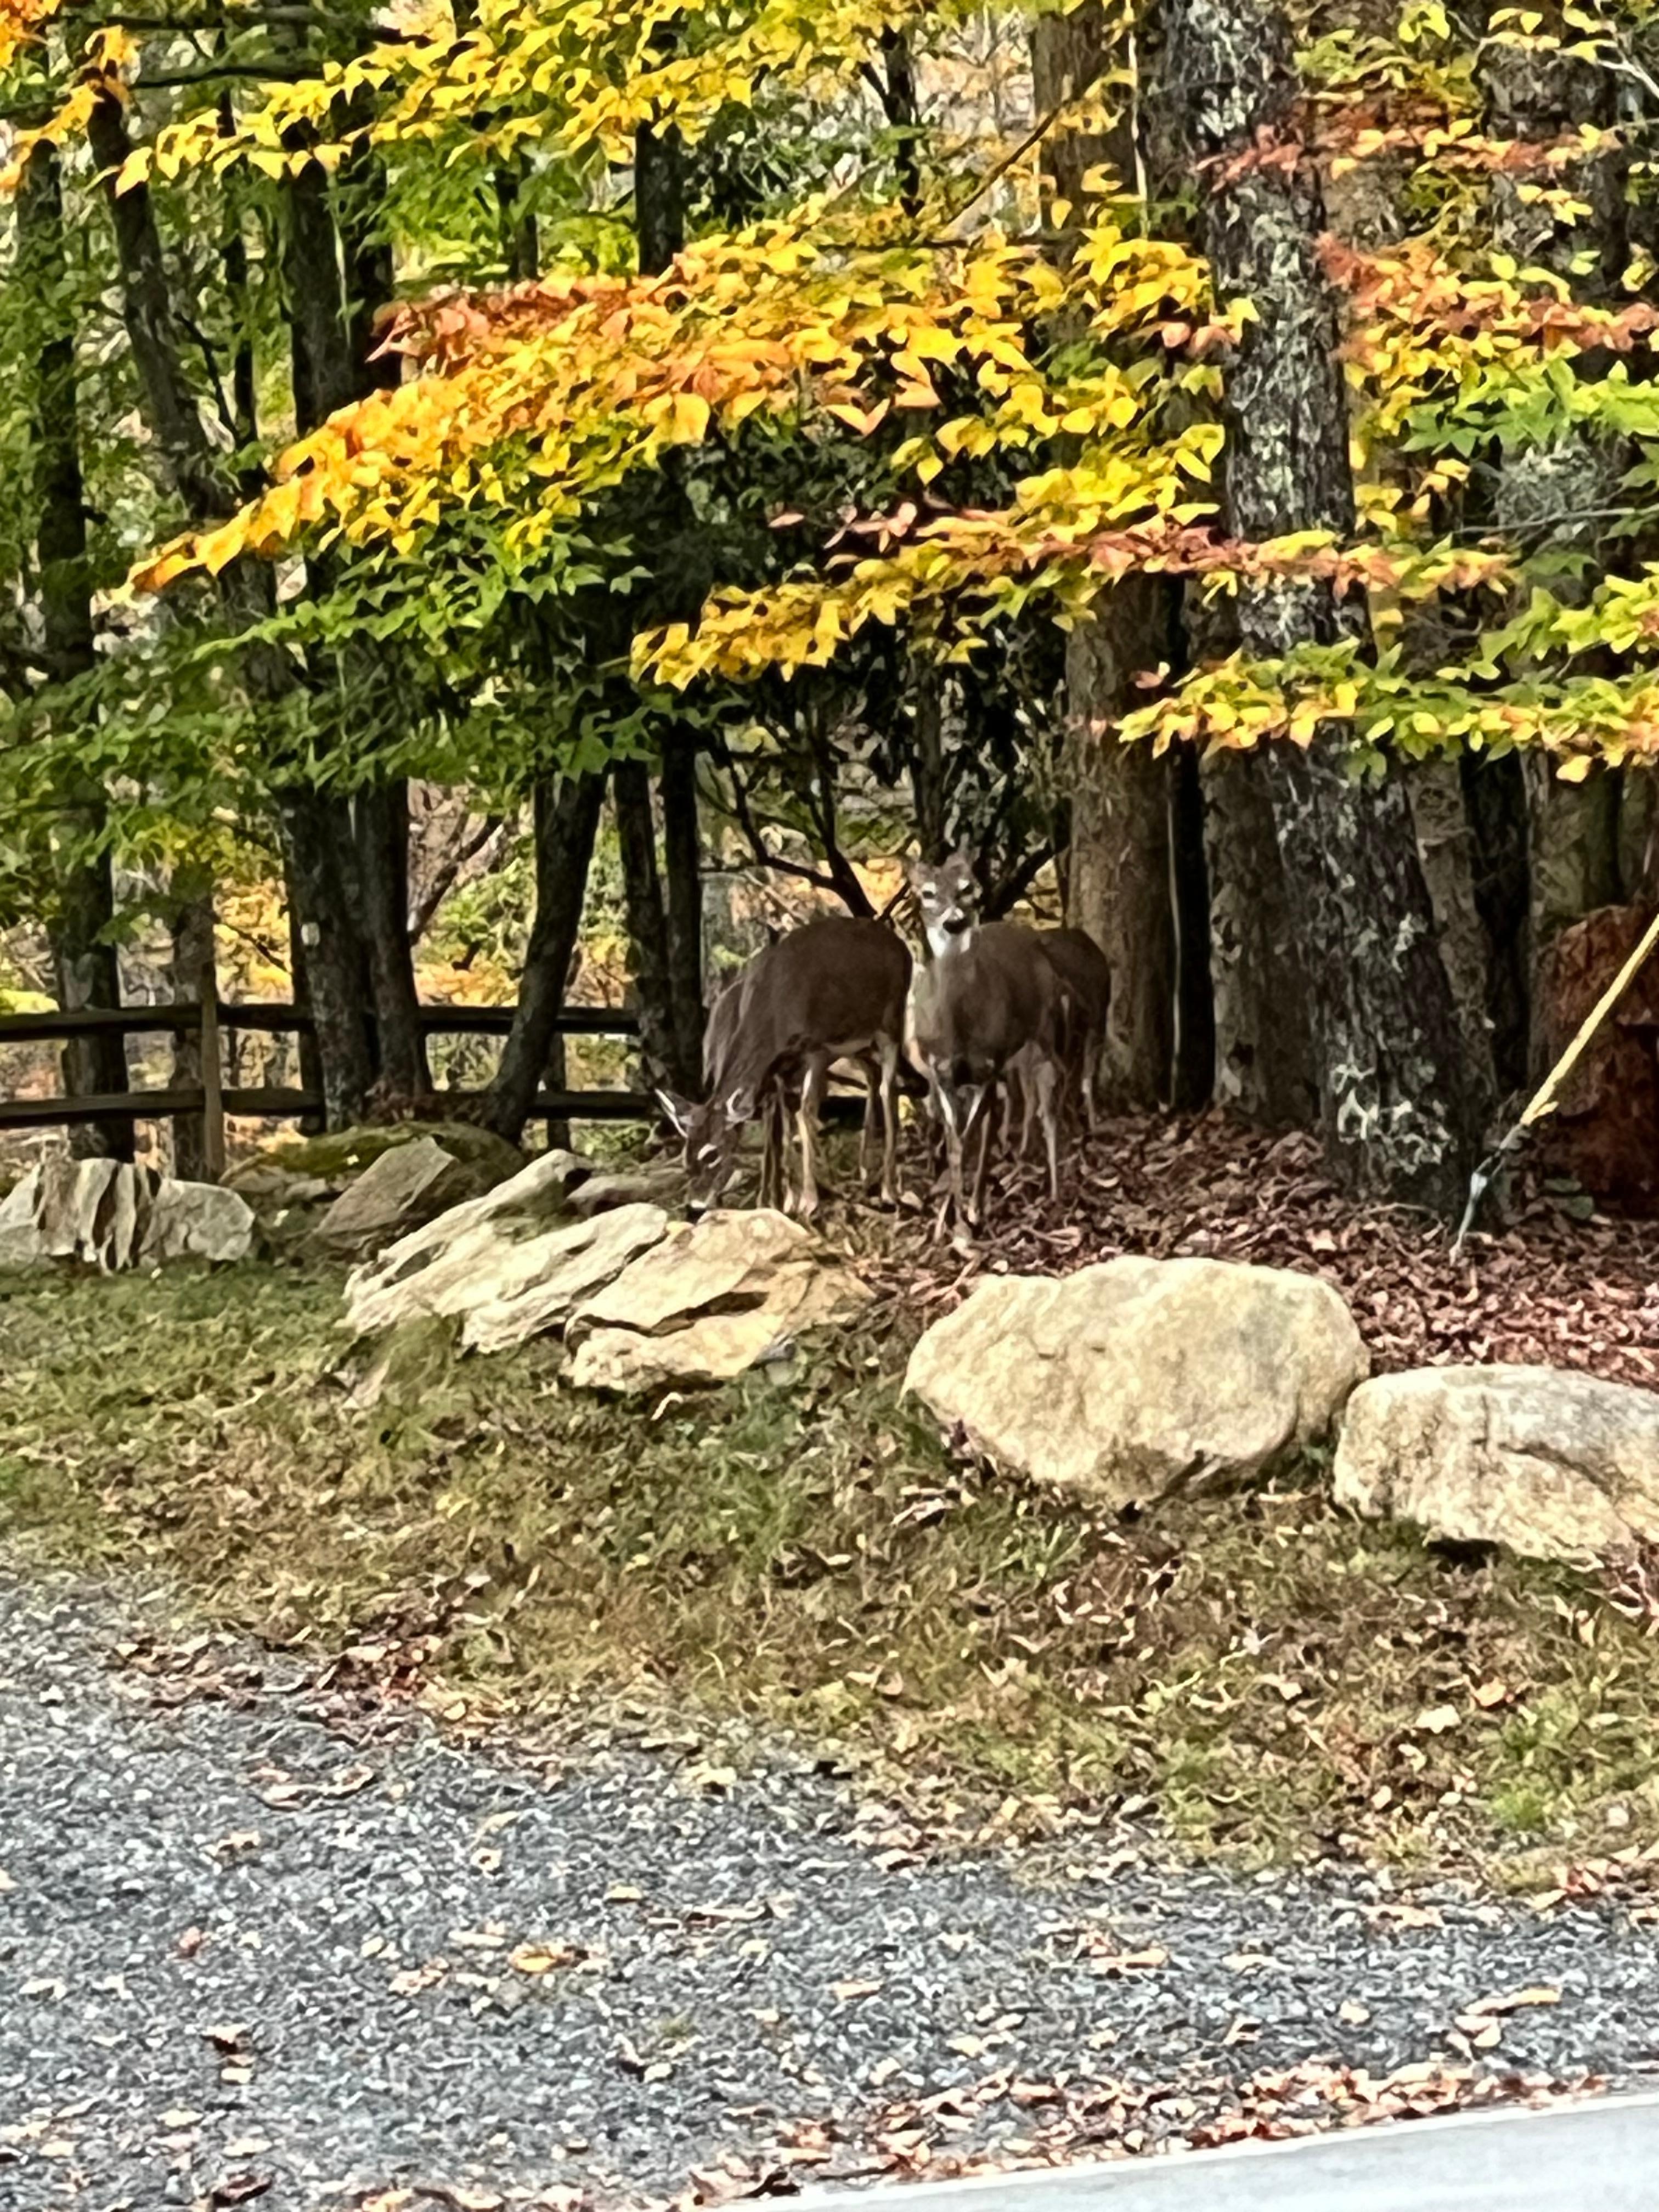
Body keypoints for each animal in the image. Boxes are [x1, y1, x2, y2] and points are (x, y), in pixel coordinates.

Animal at [658, 916, 913, 1216]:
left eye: (711, 1153)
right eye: (685, 1158)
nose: (695, 1205)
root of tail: (902, 946)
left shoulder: (816, 1048)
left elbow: (805, 1111)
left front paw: (809, 1200)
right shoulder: (780, 1066)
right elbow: (784, 1121)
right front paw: (787, 1199)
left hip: (891, 1022)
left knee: (888, 1088)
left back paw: (888, 1190)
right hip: (858, 1044)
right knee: (874, 1078)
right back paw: (863, 1172)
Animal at [904, 851, 1065, 1229]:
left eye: (968, 887)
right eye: (927, 893)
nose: (954, 922)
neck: (960, 1027)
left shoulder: (989, 1066)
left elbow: (978, 1137)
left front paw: (974, 1208)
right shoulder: (942, 1072)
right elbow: (956, 1142)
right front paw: (954, 1214)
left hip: (1043, 1033)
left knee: (1049, 1098)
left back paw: (1053, 1192)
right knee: (1026, 1100)